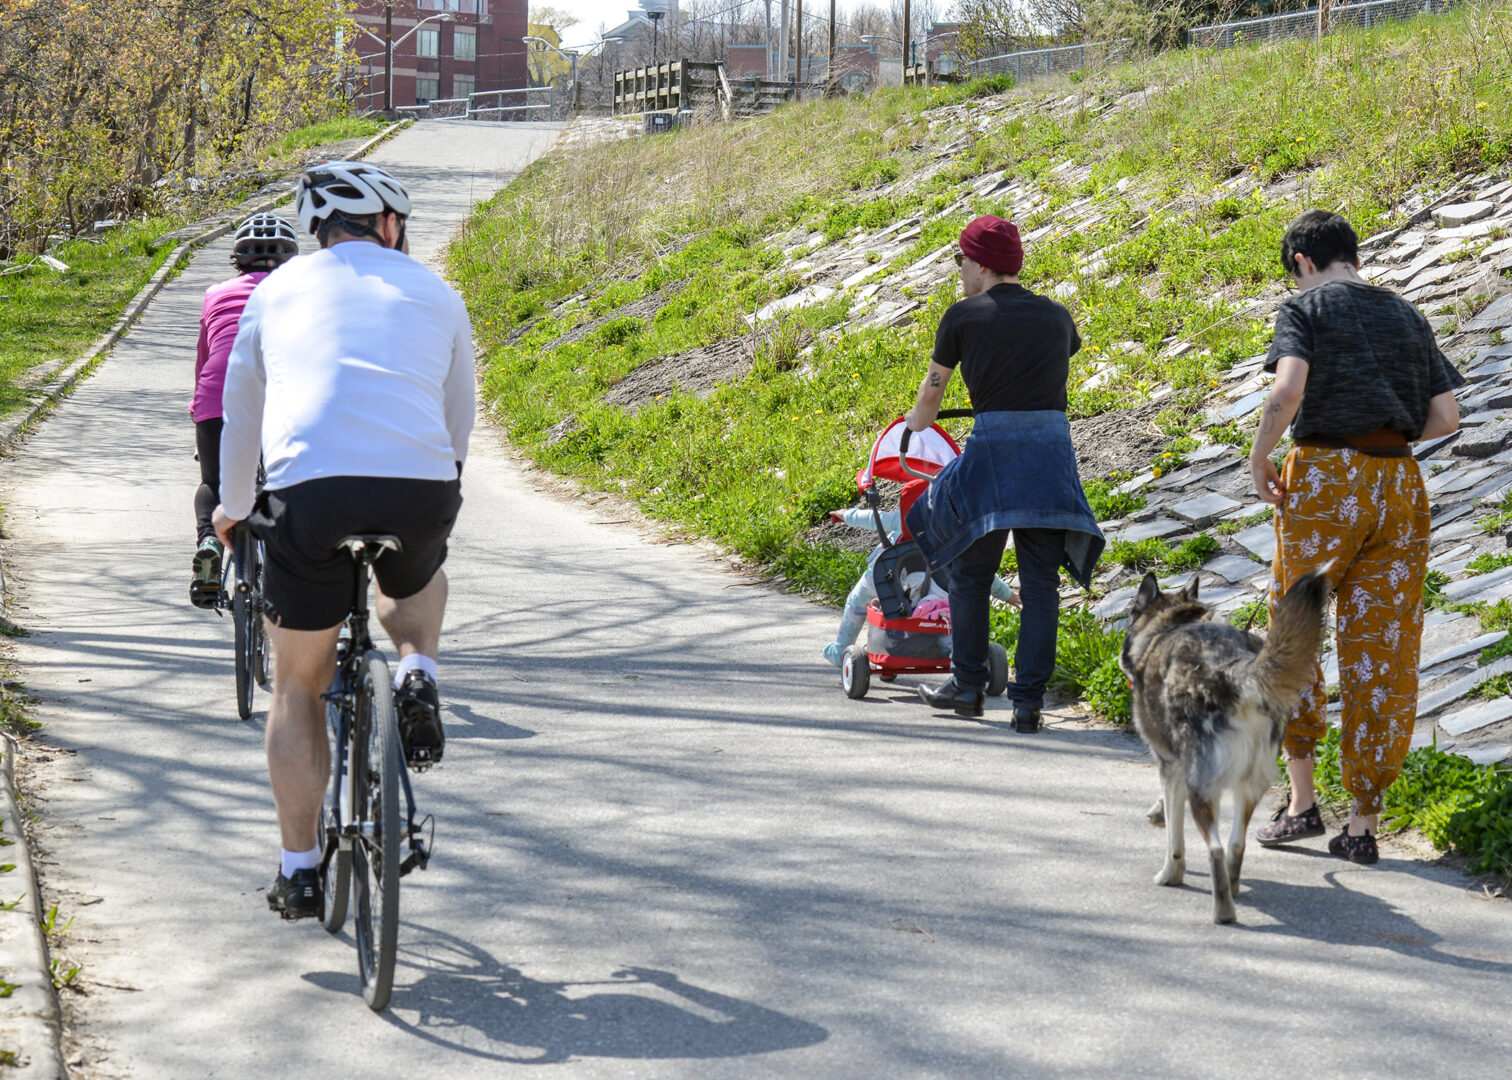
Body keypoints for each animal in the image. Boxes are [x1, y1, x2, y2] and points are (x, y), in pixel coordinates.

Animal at [1118, 568, 1330, 919]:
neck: (1169, 626)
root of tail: (1234, 672)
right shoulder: (1178, 768)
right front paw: (1157, 812)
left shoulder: (1169, 765)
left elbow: (1175, 842)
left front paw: (1170, 874)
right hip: (1247, 787)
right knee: (1236, 845)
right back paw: (1232, 889)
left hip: (1203, 791)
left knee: (1216, 848)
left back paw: (1223, 912)